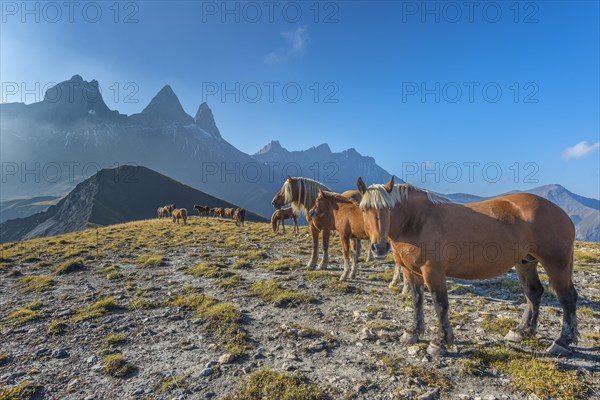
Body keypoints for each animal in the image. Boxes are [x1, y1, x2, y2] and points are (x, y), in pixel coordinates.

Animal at [358, 177, 580, 358]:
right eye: (364, 209)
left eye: (388, 209)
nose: (379, 247)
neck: (418, 220)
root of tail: (562, 213)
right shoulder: (410, 271)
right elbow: (417, 300)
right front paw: (413, 331)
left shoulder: (433, 273)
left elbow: (440, 304)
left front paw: (440, 342)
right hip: (526, 263)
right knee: (534, 293)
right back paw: (523, 331)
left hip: (556, 264)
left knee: (567, 298)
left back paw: (562, 342)